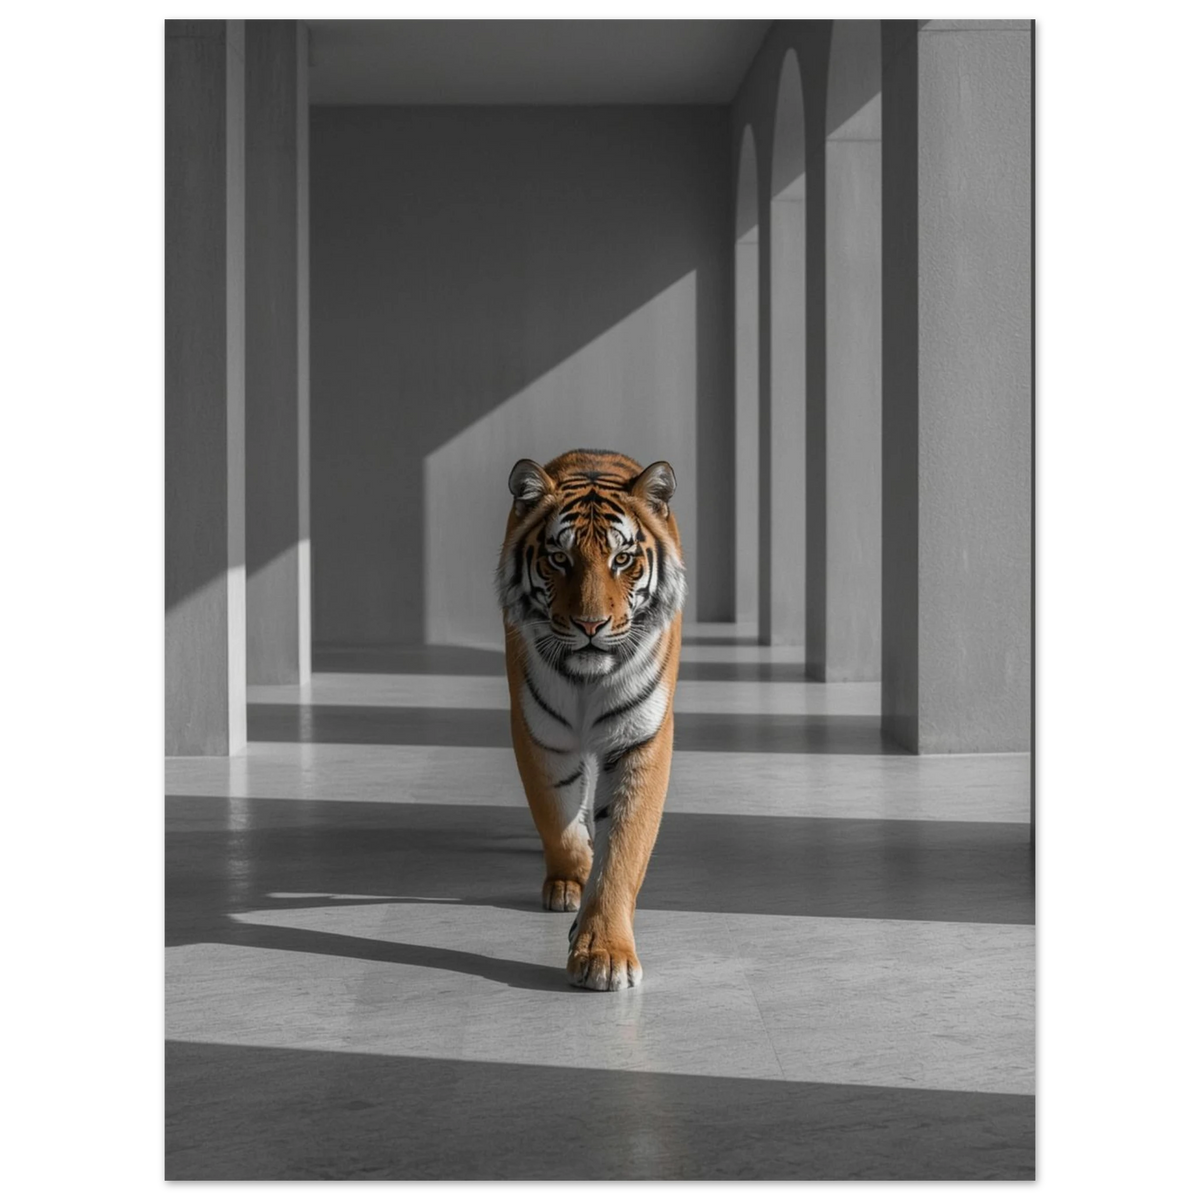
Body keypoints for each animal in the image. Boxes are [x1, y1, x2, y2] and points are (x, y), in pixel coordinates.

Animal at [495, 449, 686, 991]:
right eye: (559, 558)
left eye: (621, 559)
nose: (590, 625)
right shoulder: (539, 732)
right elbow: (555, 815)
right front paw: (570, 881)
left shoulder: (641, 739)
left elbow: (623, 847)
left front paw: (605, 952)